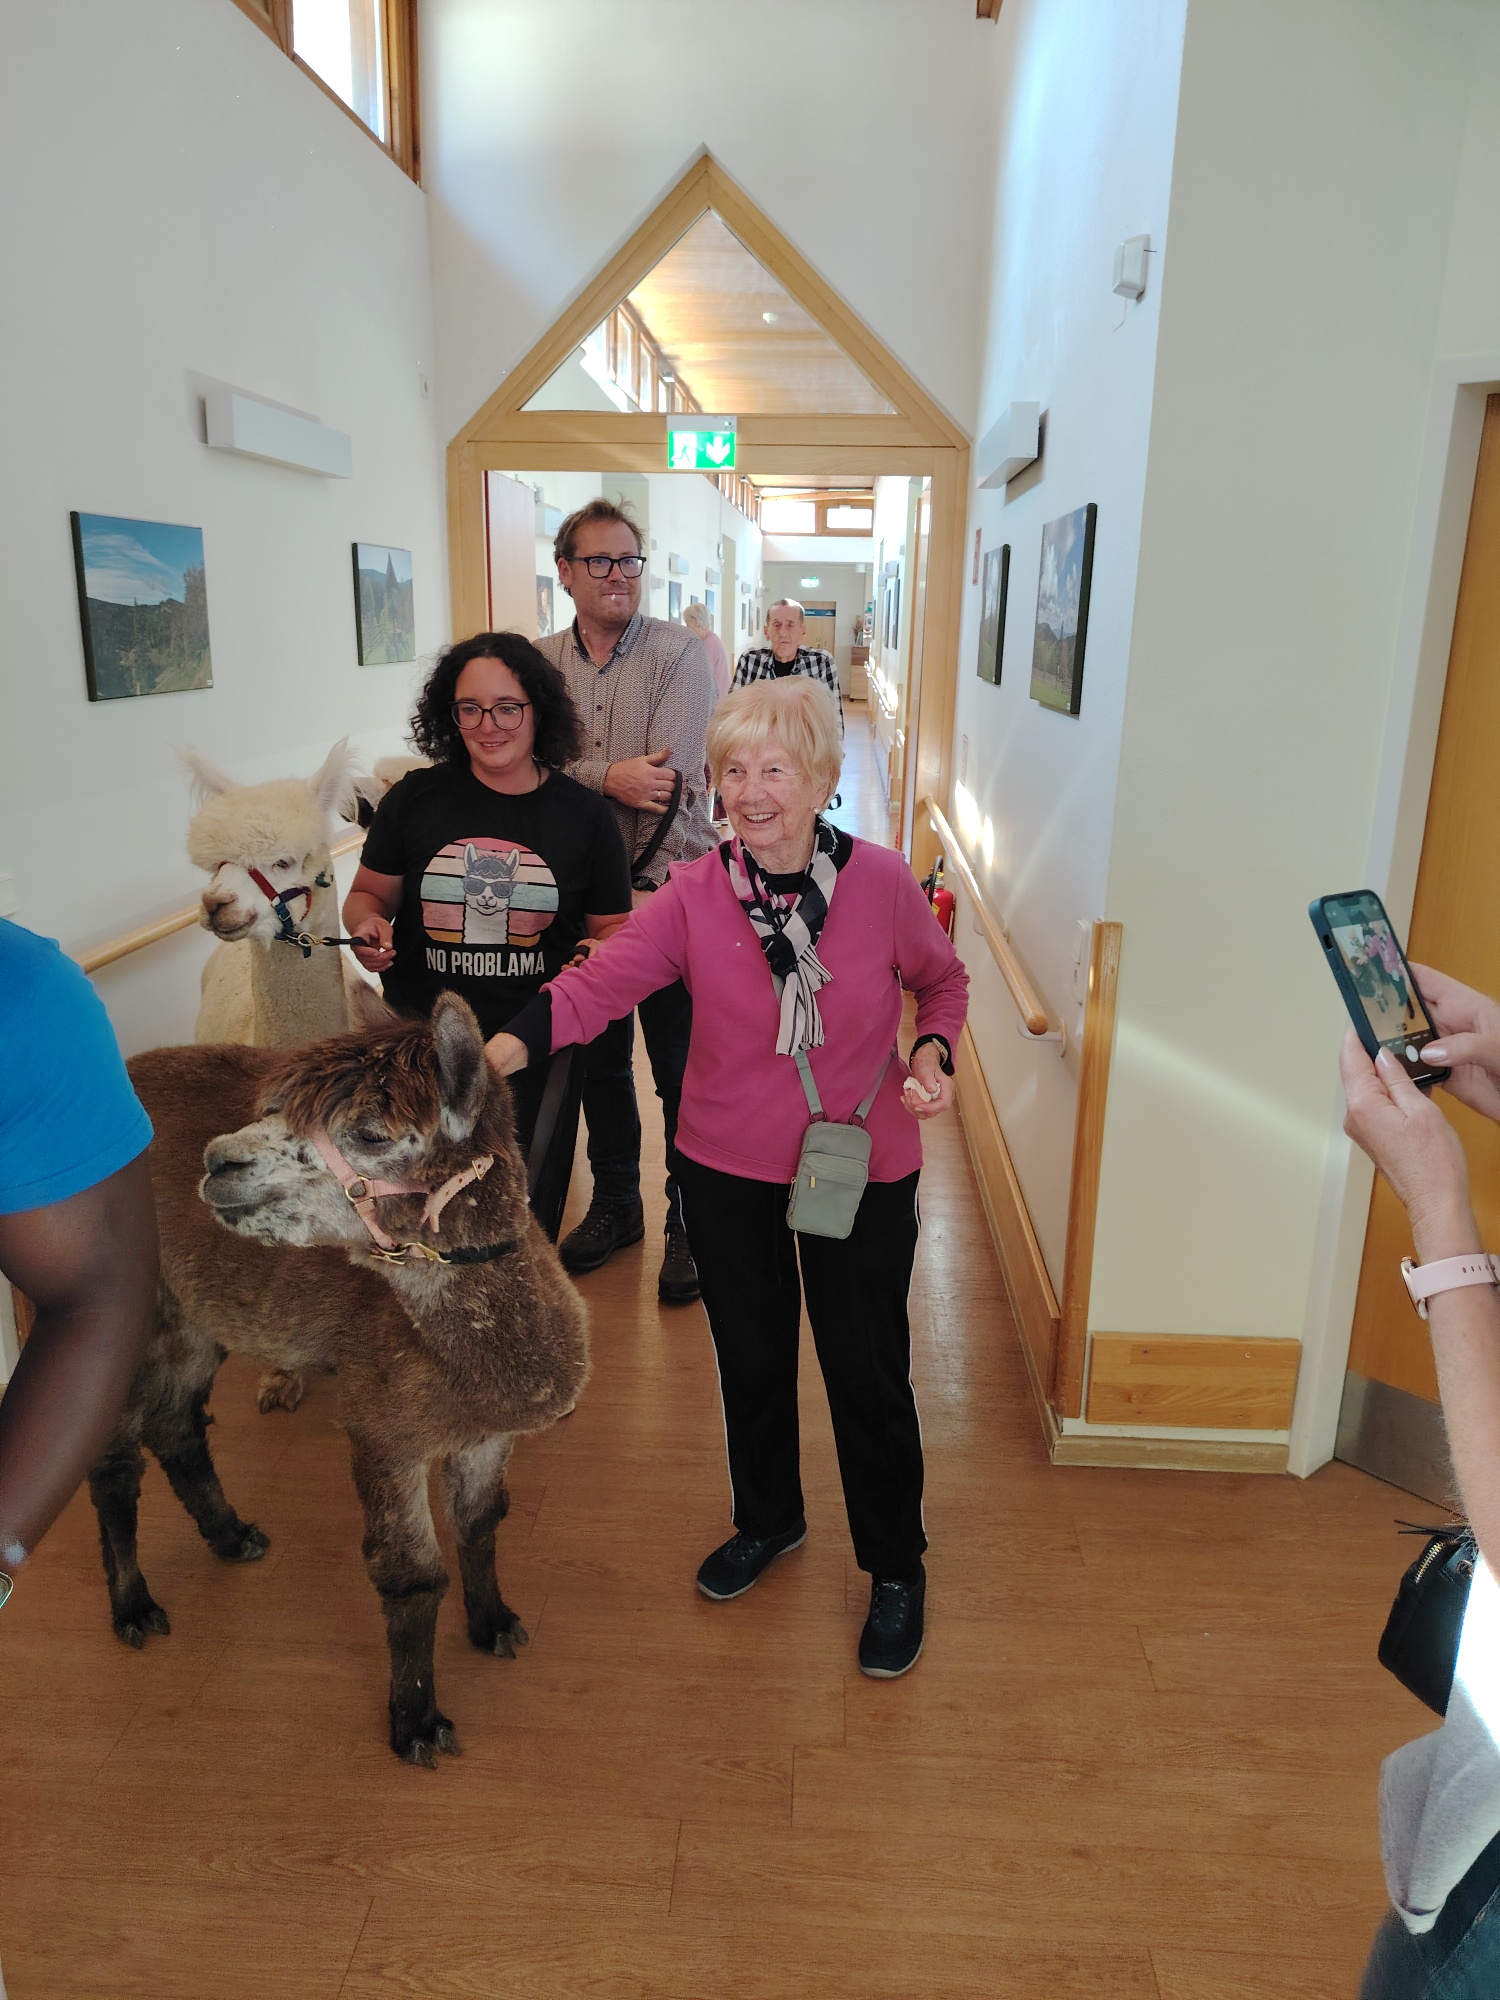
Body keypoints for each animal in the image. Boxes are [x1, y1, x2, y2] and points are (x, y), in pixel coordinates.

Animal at [94, 995, 589, 1766]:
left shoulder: (486, 1435)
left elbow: (480, 1523)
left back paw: (231, 1536)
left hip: (194, 1313)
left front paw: (494, 1624)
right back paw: (135, 1607)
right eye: (272, 1109)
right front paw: (416, 1722)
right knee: (114, 1458)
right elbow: (411, 1573)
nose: (217, 1158)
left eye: (370, 1134)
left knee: (174, 1421)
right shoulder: (384, 1427)